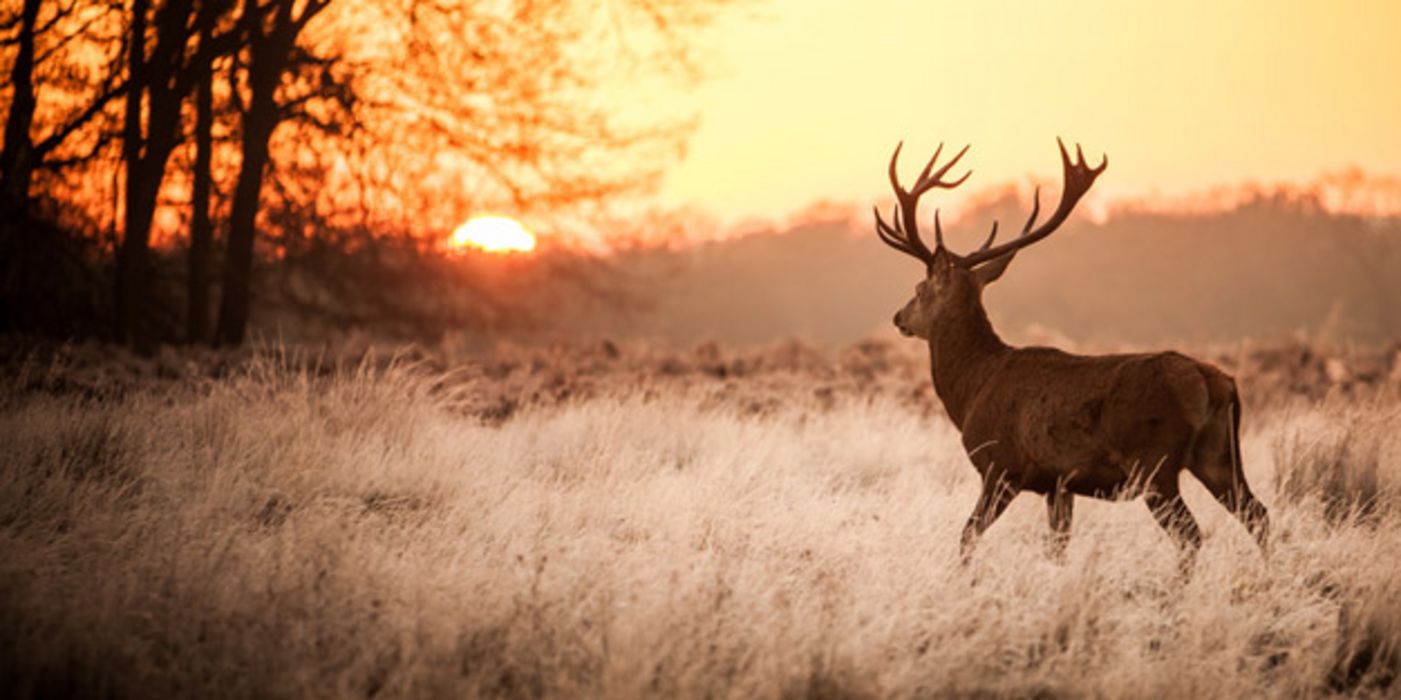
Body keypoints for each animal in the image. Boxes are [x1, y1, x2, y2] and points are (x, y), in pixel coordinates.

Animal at [879, 137, 1277, 568]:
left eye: (920, 289)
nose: (899, 317)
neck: (972, 388)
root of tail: (1214, 382)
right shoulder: (1058, 483)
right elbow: (1058, 547)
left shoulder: (1001, 466)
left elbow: (967, 535)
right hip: (1218, 455)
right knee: (1258, 514)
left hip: (1154, 462)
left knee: (1191, 533)